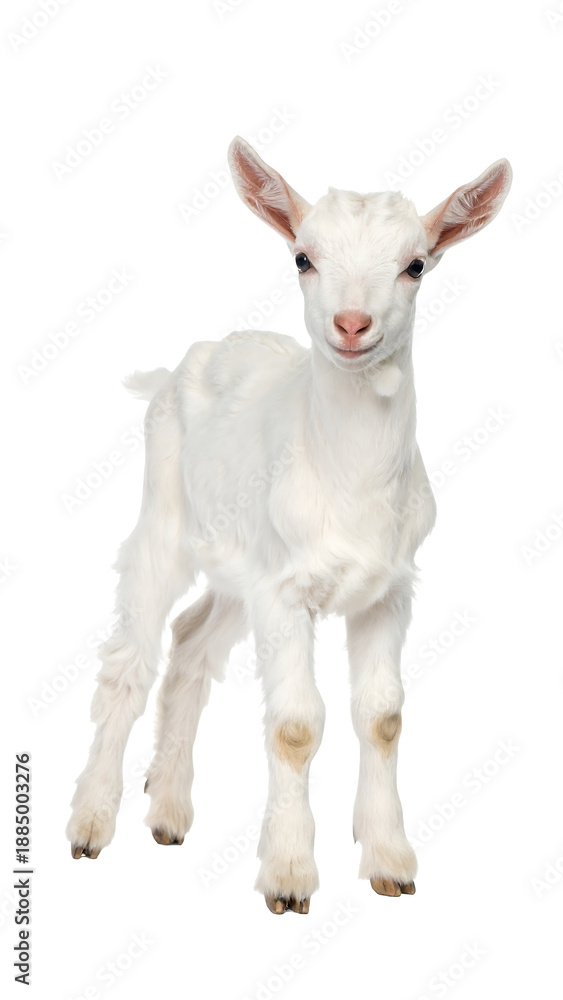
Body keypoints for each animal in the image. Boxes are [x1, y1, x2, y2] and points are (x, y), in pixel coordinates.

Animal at [67, 138, 512, 914]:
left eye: (416, 263)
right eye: (302, 257)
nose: (352, 325)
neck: (348, 477)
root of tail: (183, 365)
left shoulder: (388, 589)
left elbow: (383, 716)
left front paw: (389, 861)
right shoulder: (283, 590)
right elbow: (297, 725)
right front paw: (287, 876)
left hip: (237, 563)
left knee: (191, 642)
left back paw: (169, 811)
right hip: (163, 519)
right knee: (131, 659)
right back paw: (93, 821)